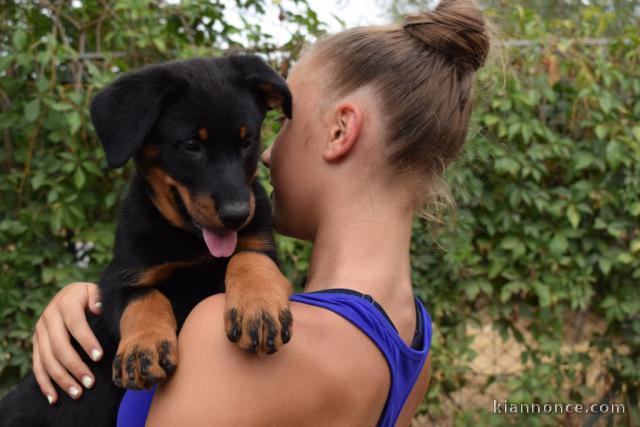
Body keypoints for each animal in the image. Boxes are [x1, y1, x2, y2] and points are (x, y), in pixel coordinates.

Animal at [0, 55, 294, 427]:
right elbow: (145, 297)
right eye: (191, 145)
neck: (191, 242)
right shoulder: (117, 281)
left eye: (247, 142)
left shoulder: (264, 249)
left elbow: (248, 258)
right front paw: (143, 349)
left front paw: (259, 308)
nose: (237, 215)